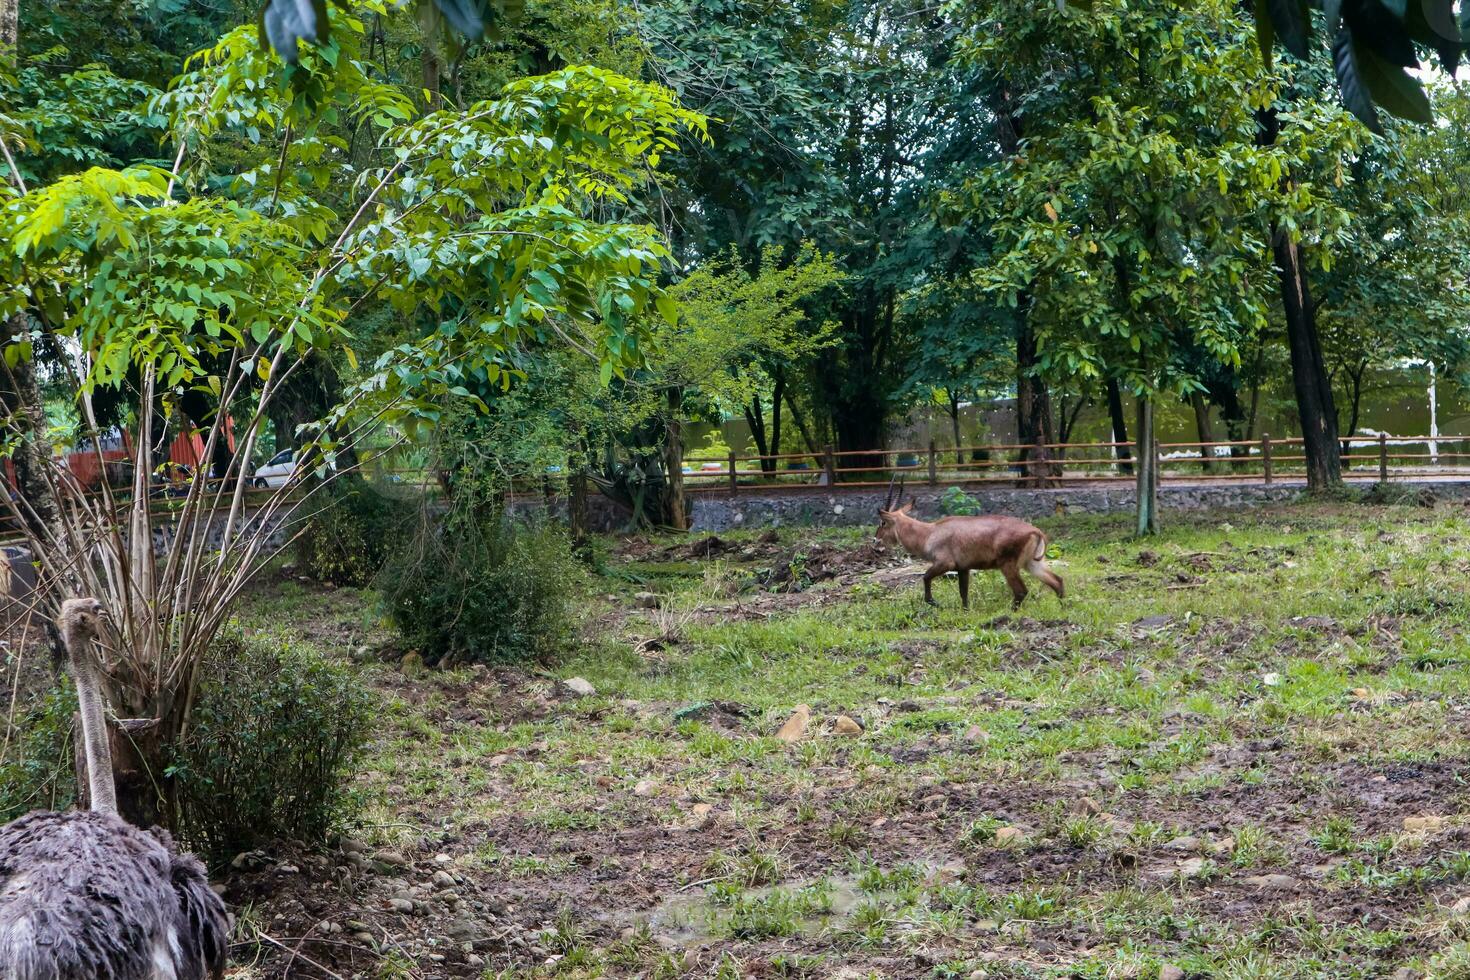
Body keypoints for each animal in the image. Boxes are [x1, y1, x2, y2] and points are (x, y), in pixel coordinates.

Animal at [870, 476, 1070, 608]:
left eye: (882, 522)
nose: (875, 541)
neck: (929, 533)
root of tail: (1035, 531)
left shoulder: (945, 563)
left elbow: (925, 577)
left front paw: (934, 603)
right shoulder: (963, 568)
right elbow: (963, 593)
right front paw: (965, 611)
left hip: (1008, 565)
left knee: (1021, 591)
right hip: (1031, 564)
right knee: (1057, 581)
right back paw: (1063, 608)